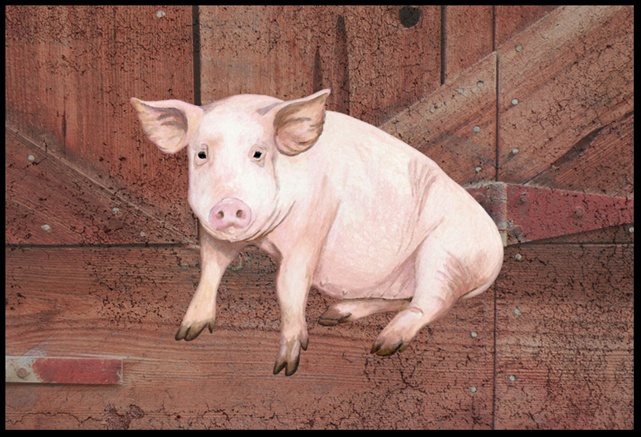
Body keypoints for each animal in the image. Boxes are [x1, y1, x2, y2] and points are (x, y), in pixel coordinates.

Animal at [130, 89, 504, 376]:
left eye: (258, 153)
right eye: (201, 153)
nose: (230, 205)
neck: (263, 239)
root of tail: (496, 254)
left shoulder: (313, 224)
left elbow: (289, 285)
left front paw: (285, 367)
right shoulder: (213, 232)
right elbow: (210, 268)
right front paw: (186, 333)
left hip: (446, 253)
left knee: (430, 303)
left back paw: (382, 345)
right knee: (409, 298)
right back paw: (335, 315)